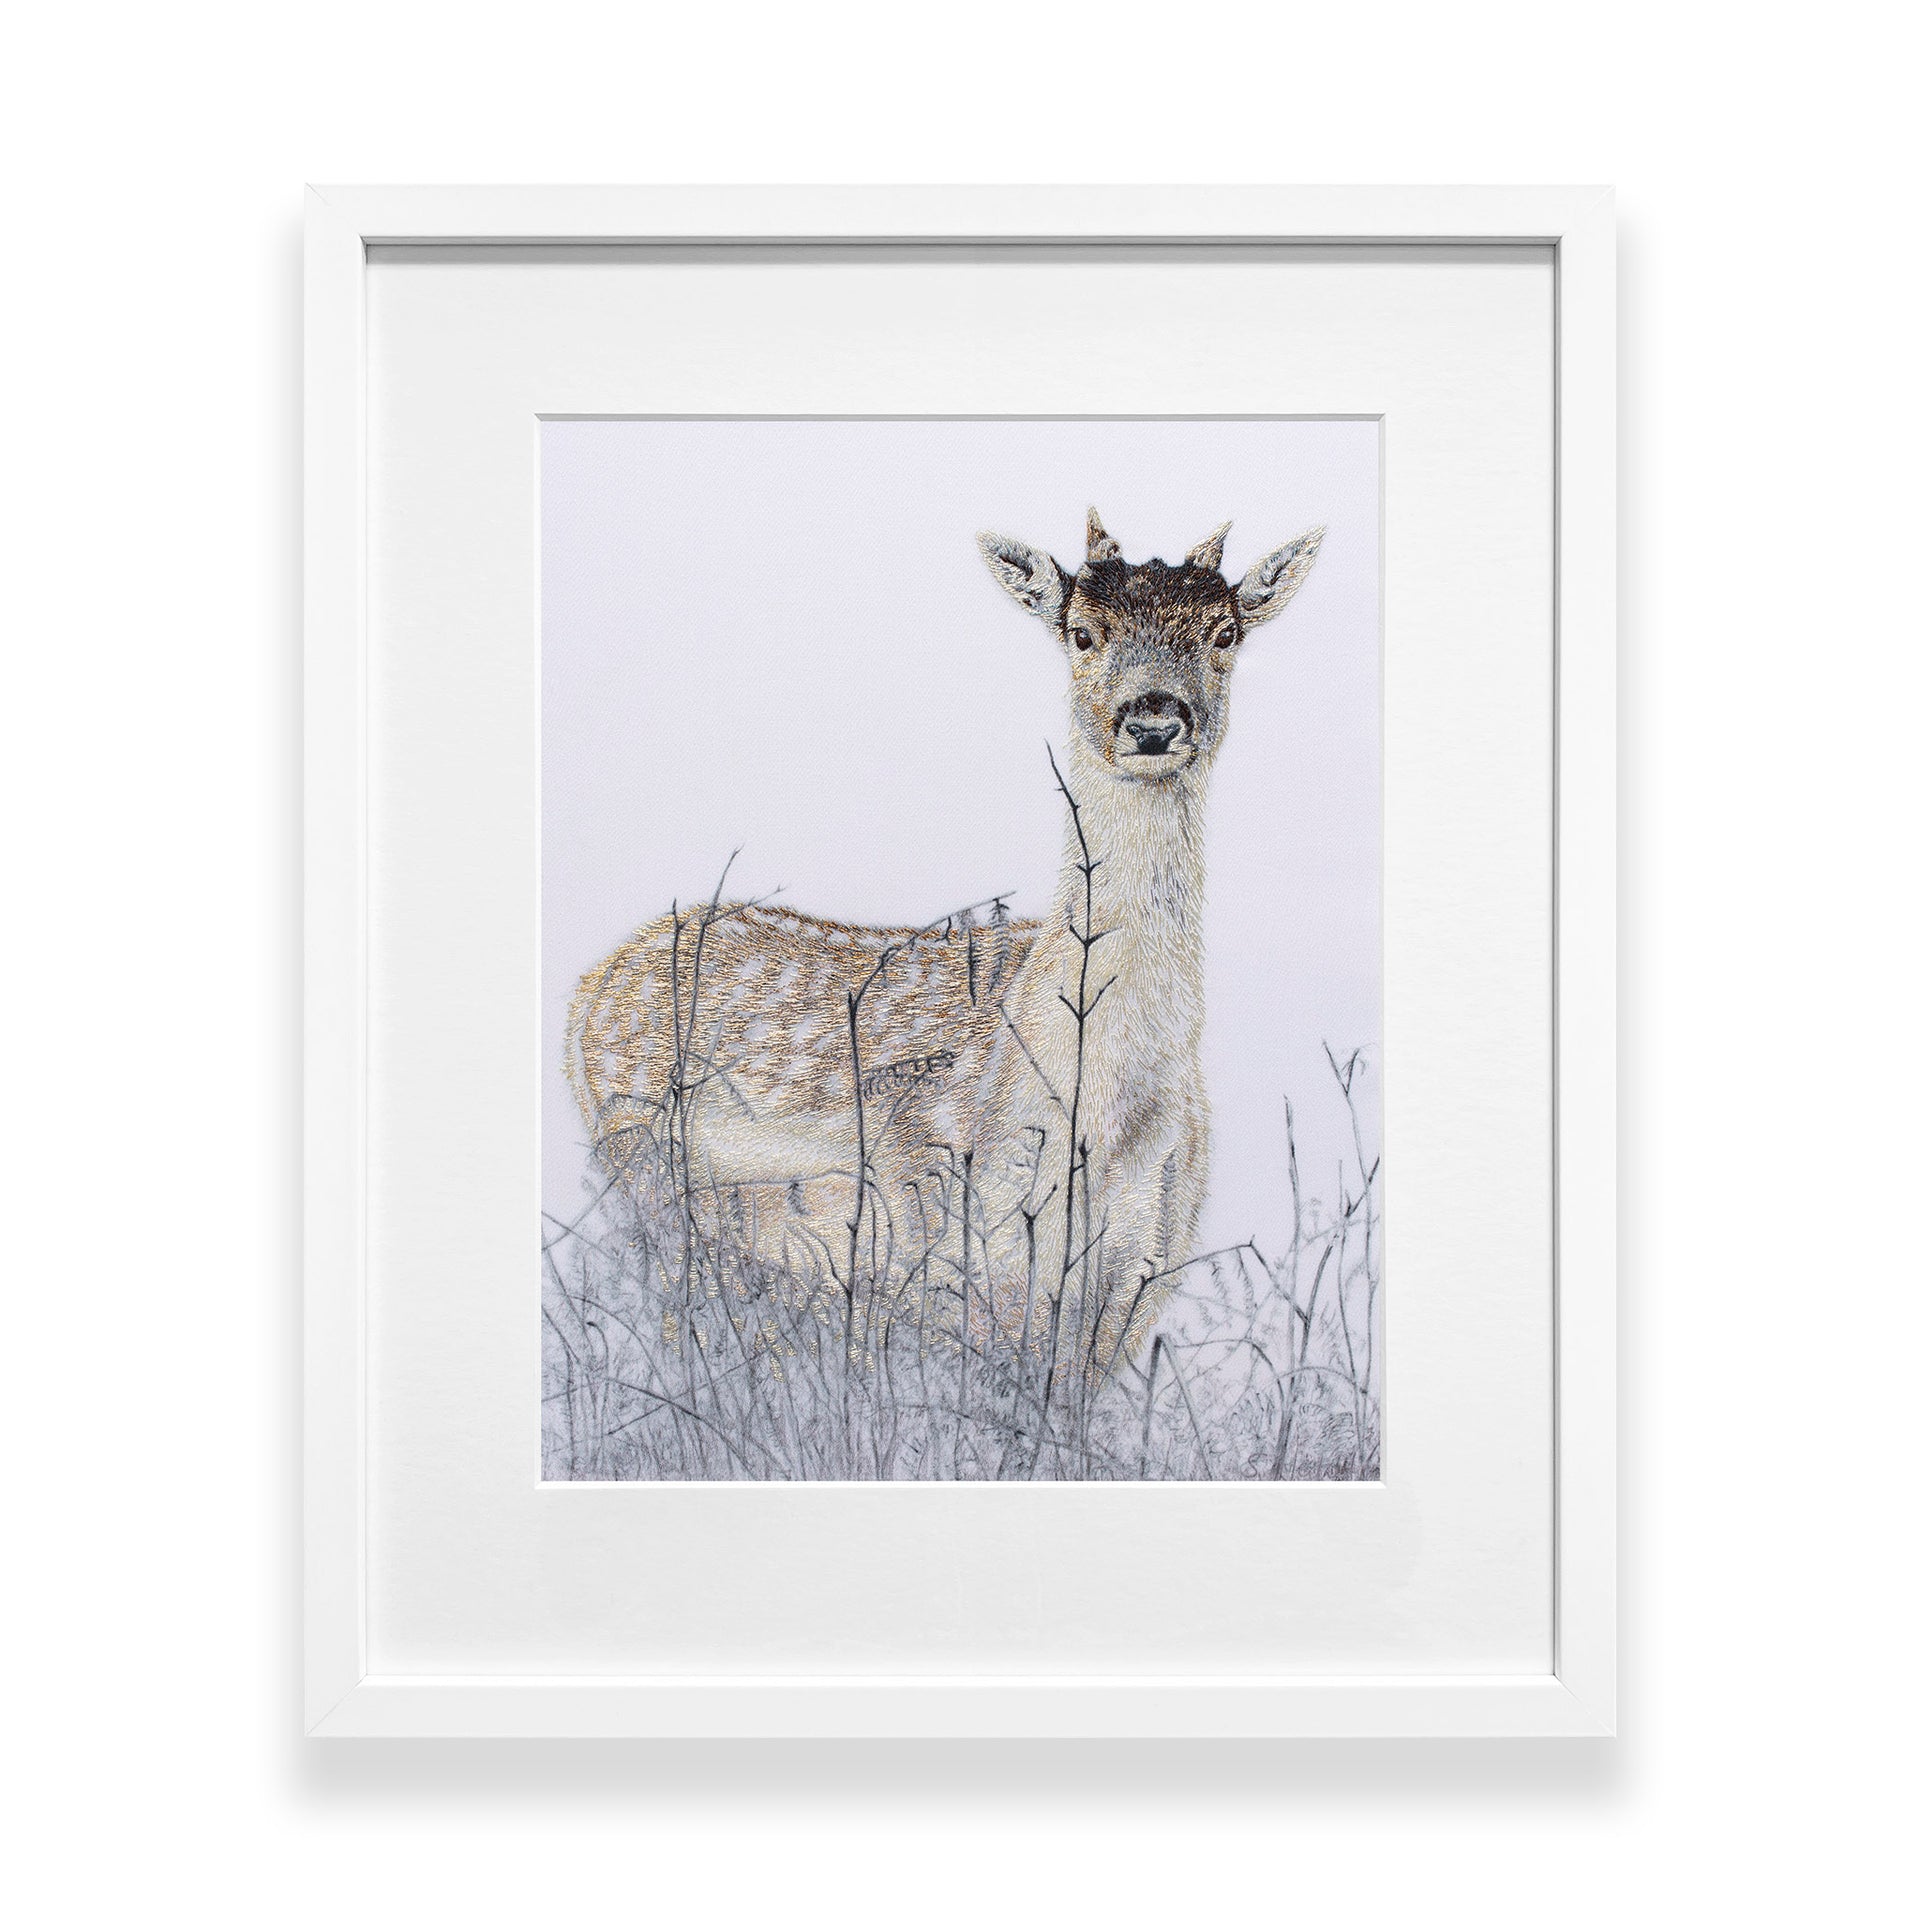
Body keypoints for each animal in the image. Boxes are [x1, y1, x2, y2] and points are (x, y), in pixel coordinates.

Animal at [566, 508, 1325, 1383]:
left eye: (1224, 631)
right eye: (1082, 632)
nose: (1154, 720)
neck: (1103, 1119)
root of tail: (588, 987)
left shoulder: (1145, 1266)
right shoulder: (953, 1233)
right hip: (646, 1168)